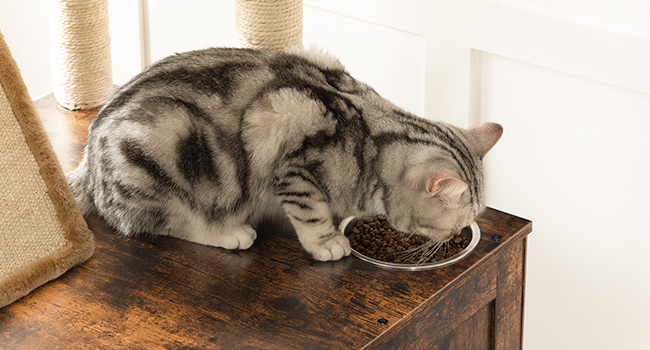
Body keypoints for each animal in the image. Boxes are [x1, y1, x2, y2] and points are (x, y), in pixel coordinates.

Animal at [66, 45, 502, 260]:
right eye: (460, 219)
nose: (458, 234)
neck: (370, 145)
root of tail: (88, 163)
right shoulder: (289, 158)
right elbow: (311, 213)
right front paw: (326, 242)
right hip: (165, 140)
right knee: (155, 222)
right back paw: (228, 232)